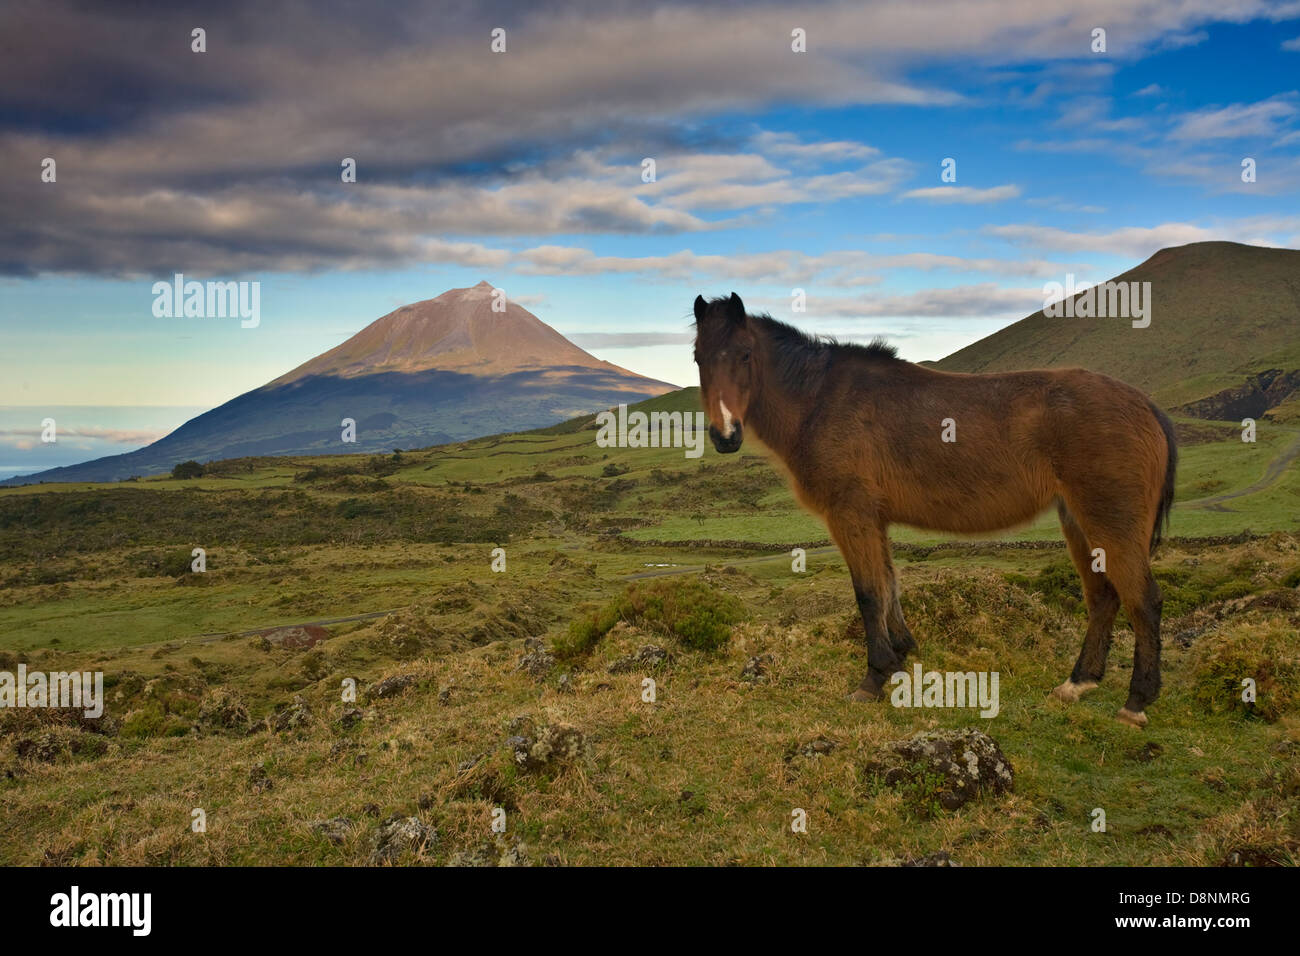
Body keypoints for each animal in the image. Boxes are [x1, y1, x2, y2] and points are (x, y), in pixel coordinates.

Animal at [692, 293, 1177, 728]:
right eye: (698, 358)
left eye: (745, 354)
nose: (725, 435)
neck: (818, 401)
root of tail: (1146, 405)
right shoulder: (873, 518)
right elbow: (889, 587)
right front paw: (901, 657)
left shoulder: (850, 514)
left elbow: (868, 593)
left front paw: (874, 677)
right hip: (1077, 521)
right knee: (1103, 597)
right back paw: (1078, 682)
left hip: (1110, 522)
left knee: (1143, 600)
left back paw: (1136, 702)